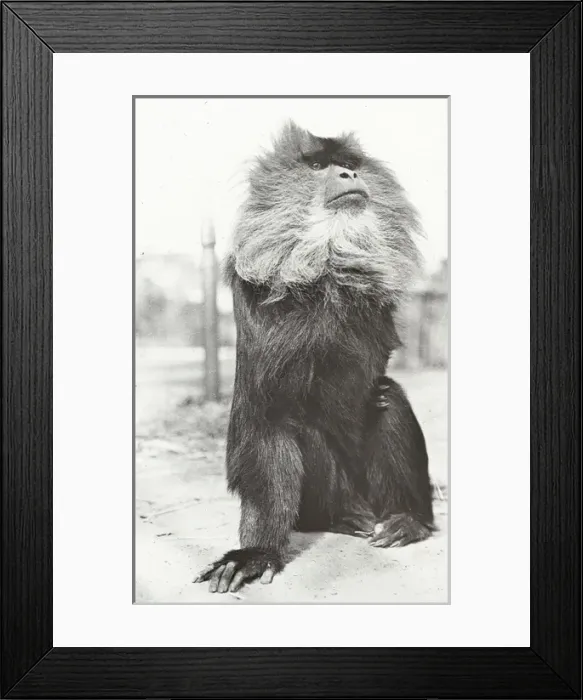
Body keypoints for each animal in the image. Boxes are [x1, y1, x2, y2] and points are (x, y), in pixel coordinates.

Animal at [195, 121, 434, 594]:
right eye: (320, 167)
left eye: (348, 164)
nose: (348, 176)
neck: (327, 271)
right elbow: (268, 418)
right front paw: (257, 552)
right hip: (329, 497)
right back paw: (345, 518)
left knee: (389, 397)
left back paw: (406, 520)